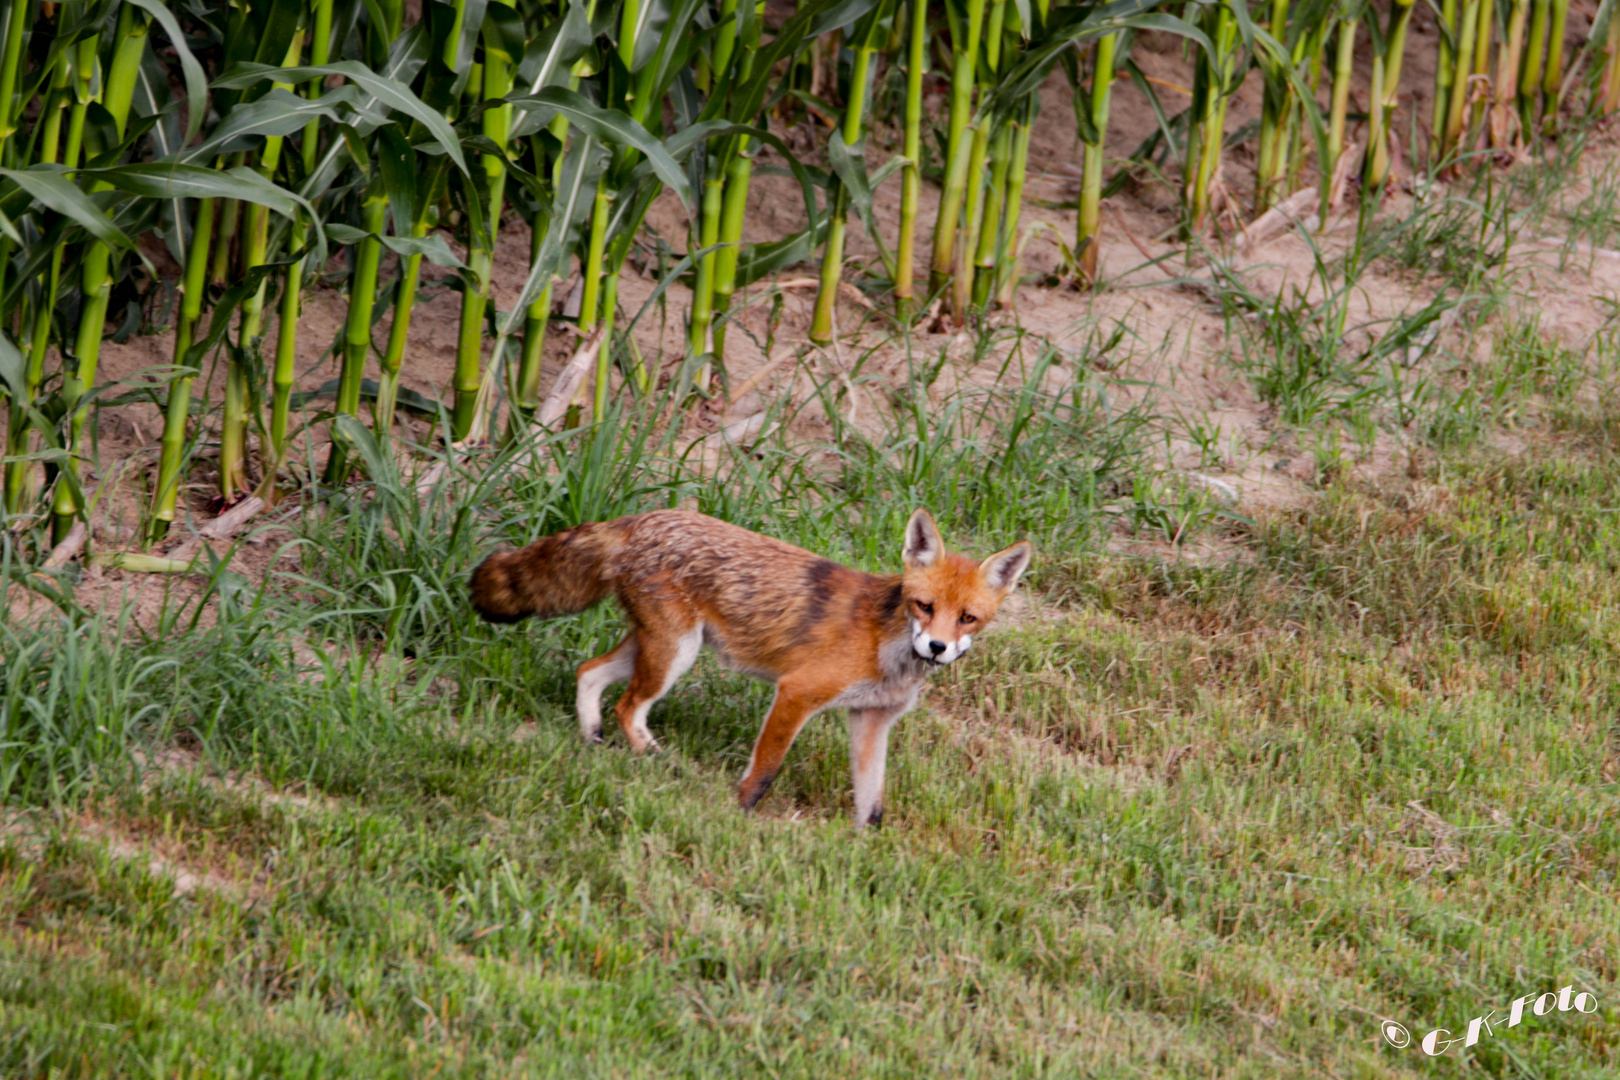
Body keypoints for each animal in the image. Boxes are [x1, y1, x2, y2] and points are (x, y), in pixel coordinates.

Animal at [469, 508, 1030, 829]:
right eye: (923, 605)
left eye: (967, 618)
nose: (936, 647)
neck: (885, 648)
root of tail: (643, 516)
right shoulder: (797, 692)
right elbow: (765, 769)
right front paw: (738, 814)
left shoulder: (872, 720)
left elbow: (872, 803)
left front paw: (863, 849)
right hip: (674, 655)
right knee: (629, 706)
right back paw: (655, 759)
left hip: (659, 647)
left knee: (588, 672)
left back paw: (592, 737)